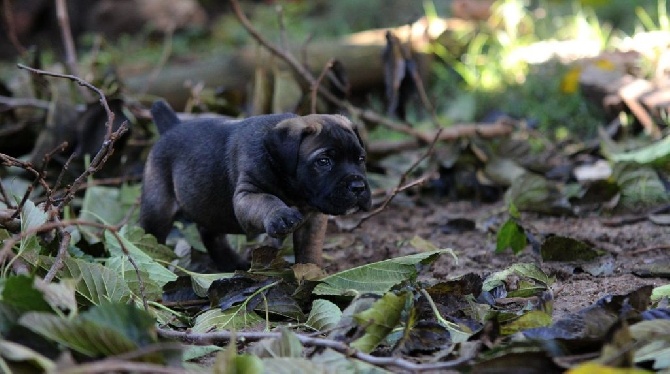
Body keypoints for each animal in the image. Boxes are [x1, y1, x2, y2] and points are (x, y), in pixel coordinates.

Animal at [140, 101, 376, 272]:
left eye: (361, 159)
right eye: (324, 161)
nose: (358, 187)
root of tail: (172, 126)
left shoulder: (314, 218)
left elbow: (310, 248)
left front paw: (312, 273)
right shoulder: (247, 195)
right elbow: (267, 199)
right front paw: (281, 214)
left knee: (210, 234)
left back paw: (231, 263)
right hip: (158, 207)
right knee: (152, 235)